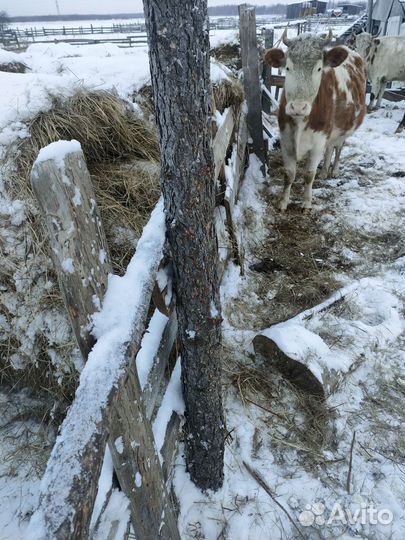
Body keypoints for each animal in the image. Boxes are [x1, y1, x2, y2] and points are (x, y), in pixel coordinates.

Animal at [266, 29, 366, 211]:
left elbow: (308, 175)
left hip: (343, 130)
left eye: (319, 68)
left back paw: (334, 170)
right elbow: (289, 174)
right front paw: (283, 202)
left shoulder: (318, 142)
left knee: (338, 148)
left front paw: (306, 203)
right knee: (330, 148)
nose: (298, 107)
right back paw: (324, 171)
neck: (301, 122)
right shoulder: (286, 140)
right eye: (288, 67)